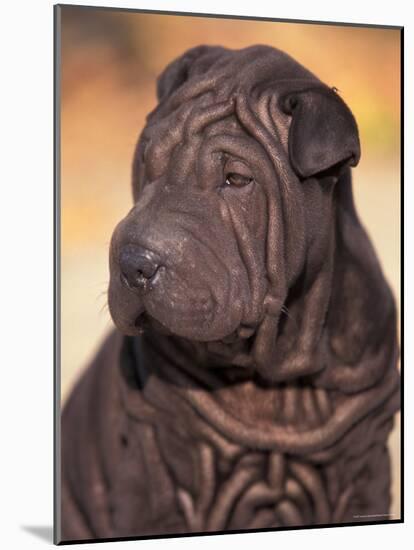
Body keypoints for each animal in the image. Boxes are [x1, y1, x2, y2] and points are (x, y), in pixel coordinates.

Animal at [59, 44, 400, 544]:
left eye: (236, 180)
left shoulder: (364, 463)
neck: (277, 377)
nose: (134, 263)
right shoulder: (157, 469)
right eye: (146, 162)